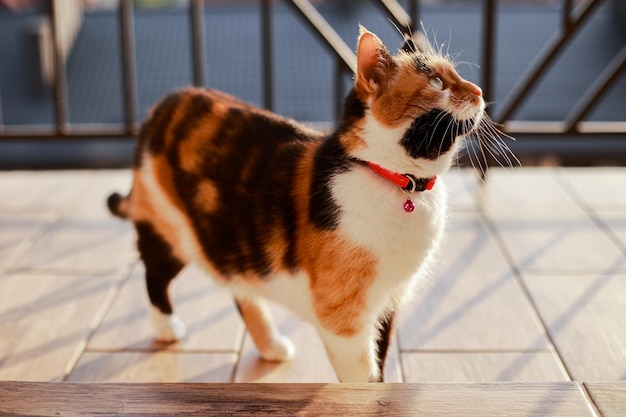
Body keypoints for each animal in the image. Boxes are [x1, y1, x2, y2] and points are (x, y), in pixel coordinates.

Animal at [106, 24, 498, 378]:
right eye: (436, 83)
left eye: (457, 74)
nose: (479, 90)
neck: (403, 183)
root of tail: (162, 106)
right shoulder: (343, 320)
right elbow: (362, 377)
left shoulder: (390, 301)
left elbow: (381, 362)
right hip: (173, 231)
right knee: (154, 271)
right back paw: (166, 327)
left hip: (229, 240)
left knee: (238, 287)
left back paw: (271, 345)